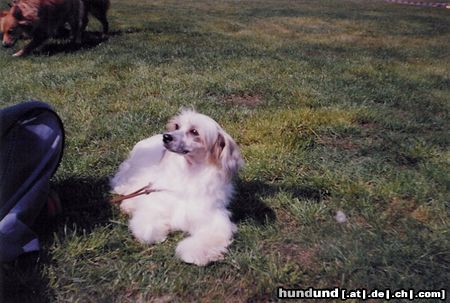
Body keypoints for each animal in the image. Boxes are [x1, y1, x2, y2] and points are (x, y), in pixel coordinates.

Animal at [110, 109, 244, 266]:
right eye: (177, 126)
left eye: (194, 131)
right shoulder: (157, 203)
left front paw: (193, 253)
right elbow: (147, 229)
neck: (188, 174)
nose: (166, 136)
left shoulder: (213, 221)